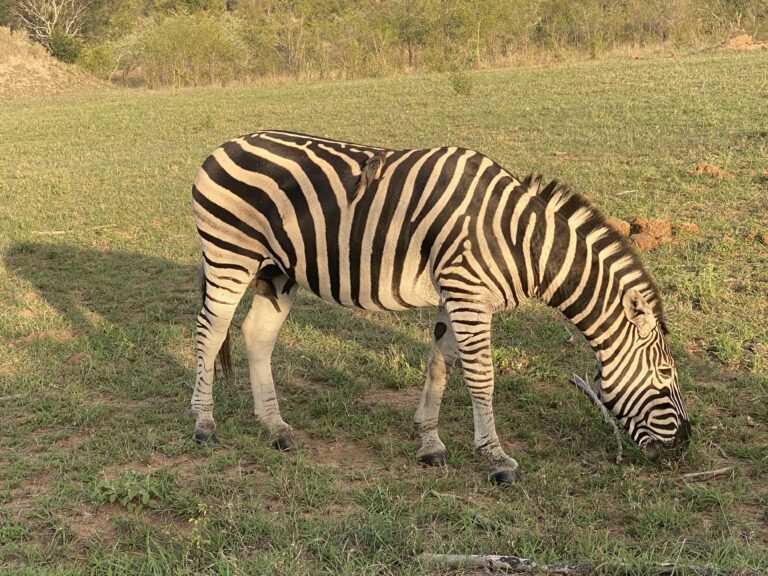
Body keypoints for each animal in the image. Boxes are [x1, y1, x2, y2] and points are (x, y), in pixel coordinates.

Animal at [191, 130, 690, 483]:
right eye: (666, 374)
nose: (686, 444)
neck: (521, 242)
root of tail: (226, 144)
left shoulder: (458, 296)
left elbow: (439, 366)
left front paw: (430, 444)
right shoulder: (469, 295)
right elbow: (482, 378)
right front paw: (496, 458)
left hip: (278, 270)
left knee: (256, 336)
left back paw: (275, 427)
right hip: (229, 256)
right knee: (210, 332)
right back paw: (203, 424)